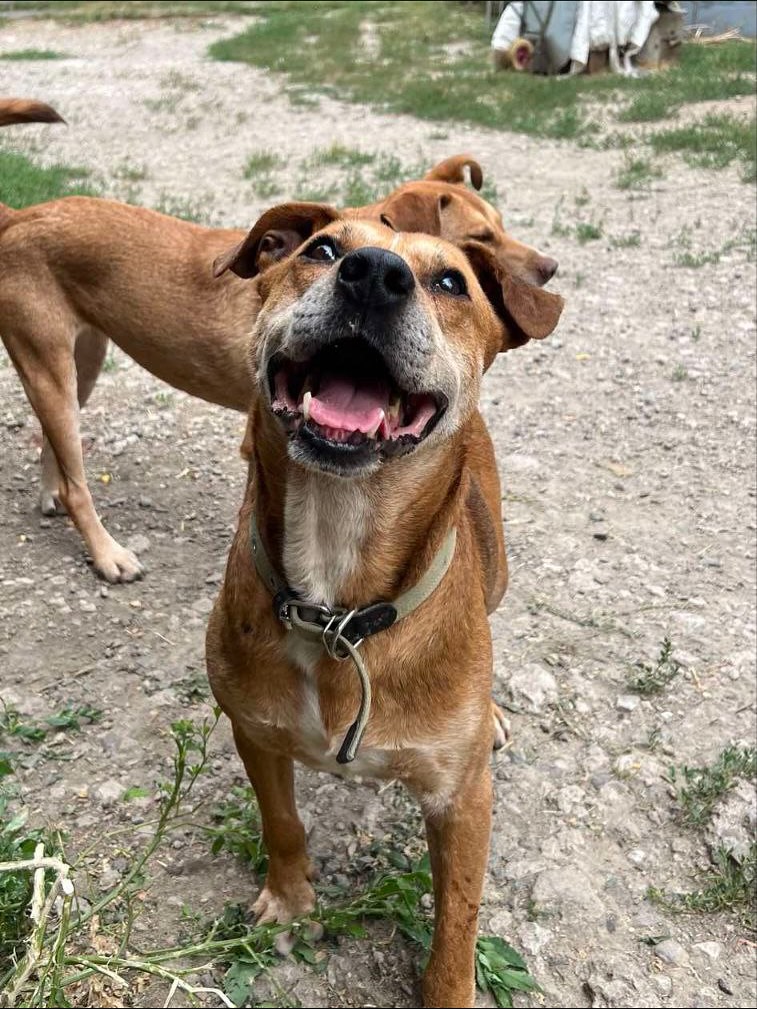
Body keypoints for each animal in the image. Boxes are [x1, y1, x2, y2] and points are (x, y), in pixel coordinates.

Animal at [0, 107, 557, 580]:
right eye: (482, 237)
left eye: (501, 225)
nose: (551, 267)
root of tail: (21, 215)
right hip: (48, 366)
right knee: (78, 482)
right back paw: (107, 554)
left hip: (83, 366)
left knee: (56, 446)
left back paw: (52, 494)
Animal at [205, 202, 564, 1007]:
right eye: (320, 249)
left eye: (449, 282)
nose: (374, 274)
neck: (337, 601)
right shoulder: (255, 734)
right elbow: (282, 823)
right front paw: (291, 900)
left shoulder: (462, 799)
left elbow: (458, 917)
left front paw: (447, 989)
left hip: (498, 573)